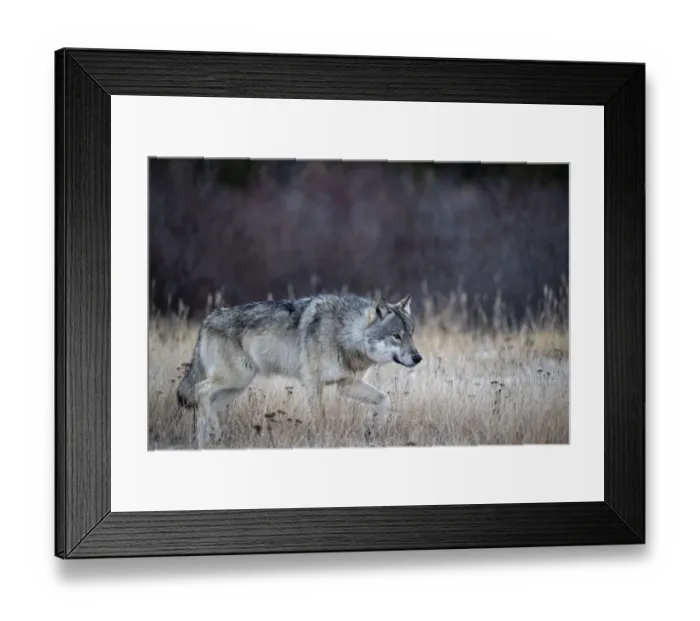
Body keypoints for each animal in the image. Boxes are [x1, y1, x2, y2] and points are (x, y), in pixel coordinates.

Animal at [176, 293, 422, 448]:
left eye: (411, 334)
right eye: (396, 335)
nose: (418, 358)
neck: (345, 334)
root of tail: (207, 320)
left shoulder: (346, 385)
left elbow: (385, 399)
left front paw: (374, 431)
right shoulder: (313, 384)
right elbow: (320, 418)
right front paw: (323, 442)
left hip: (236, 388)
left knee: (205, 406)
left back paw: (206, 442)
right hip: (236, 379)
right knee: (200, 390)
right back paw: (214, 434)